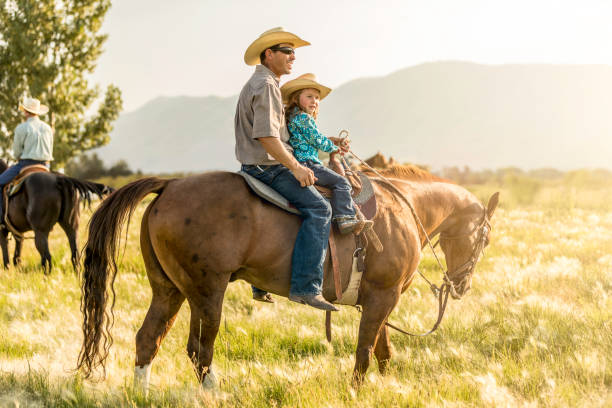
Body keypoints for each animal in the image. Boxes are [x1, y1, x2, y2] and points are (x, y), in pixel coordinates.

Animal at [76, 166, 498, 388]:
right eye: (485, 237)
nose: (462, 285)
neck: (405, 210)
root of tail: (170, 184)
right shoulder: (383, 296)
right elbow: (365, 351)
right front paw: (358, 391)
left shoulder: (380, 301)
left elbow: (382, 351)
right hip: (207, 292)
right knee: (200, 350)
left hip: (170, 291)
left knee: (149, 339)